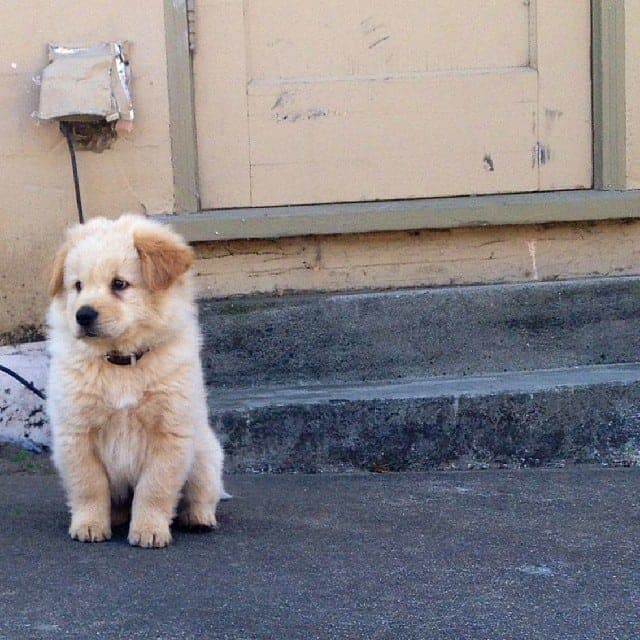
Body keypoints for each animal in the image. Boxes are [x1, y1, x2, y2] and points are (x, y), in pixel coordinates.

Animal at [46, 216, 225, 552]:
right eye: (78, 286)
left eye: (119, 284)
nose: (83, 315)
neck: (120, 361)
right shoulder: (76, 432)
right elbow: (89, 485)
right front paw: (89, 525)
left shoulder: (170, 433)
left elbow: (154, 488)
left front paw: (149, 530)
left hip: (204, 454)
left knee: (203, 491)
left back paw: (199, 518)